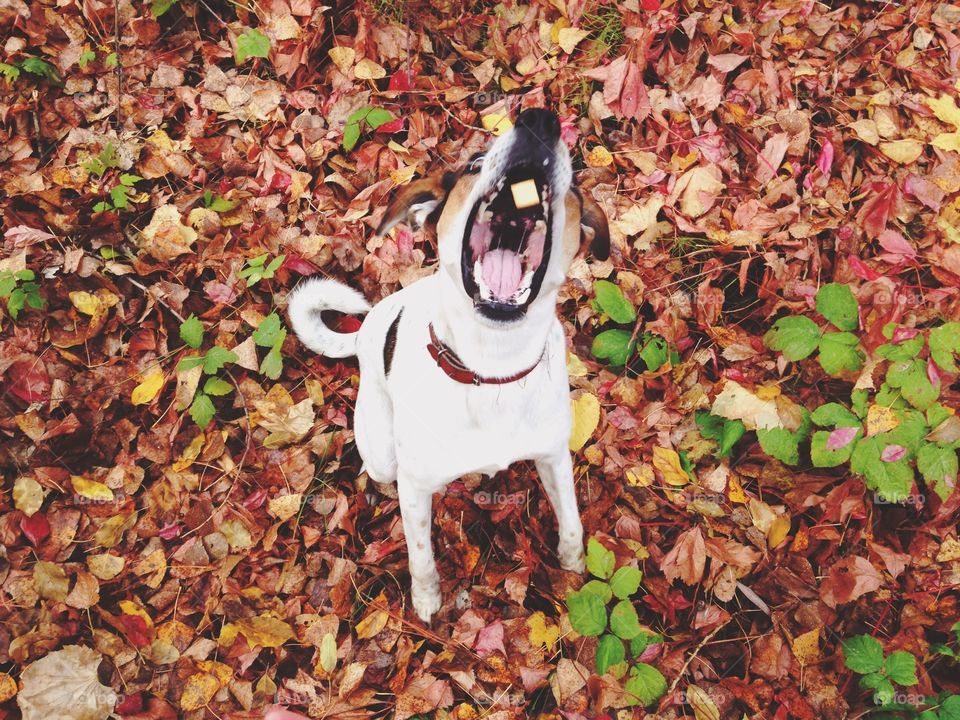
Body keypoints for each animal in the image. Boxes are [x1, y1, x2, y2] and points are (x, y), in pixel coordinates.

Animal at [288, 108, 612, 624]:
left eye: (575, 185)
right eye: (474, 163)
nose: (538, 121)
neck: (491, 368)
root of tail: (362, 336)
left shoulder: (554, 456)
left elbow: (573, 523)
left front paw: (574, 567)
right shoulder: (415, 486)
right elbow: (421, 556)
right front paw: (426, 601)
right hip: (381, 455)